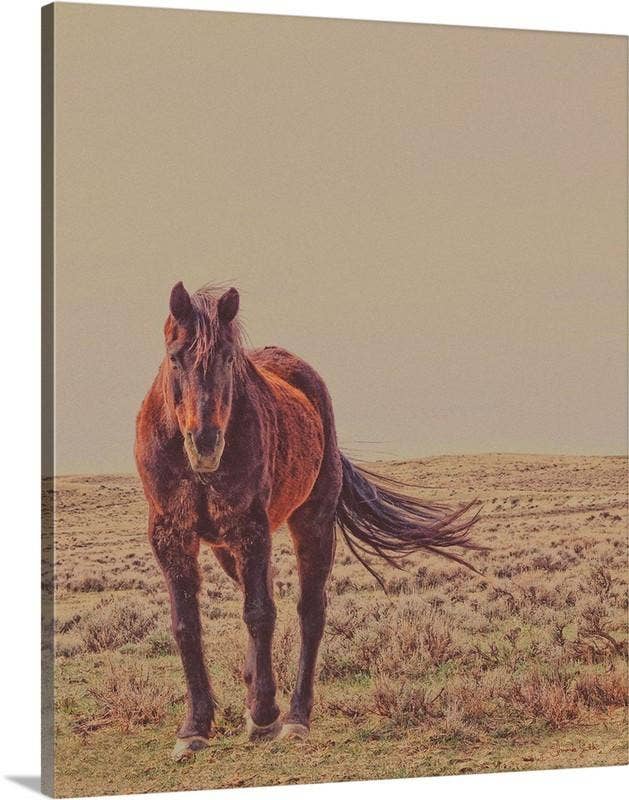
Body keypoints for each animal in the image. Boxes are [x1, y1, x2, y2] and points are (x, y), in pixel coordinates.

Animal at [135, 282, 480, 761]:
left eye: (228, 358)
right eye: (174, 357)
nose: (205, 443)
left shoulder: (250, 527)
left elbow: (259, 613)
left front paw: (263, 713)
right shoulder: (171, 535)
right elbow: (186, 624)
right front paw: (195, 727)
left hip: (311, 523)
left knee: (309, 610)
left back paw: (295, 715)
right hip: (227, 548)